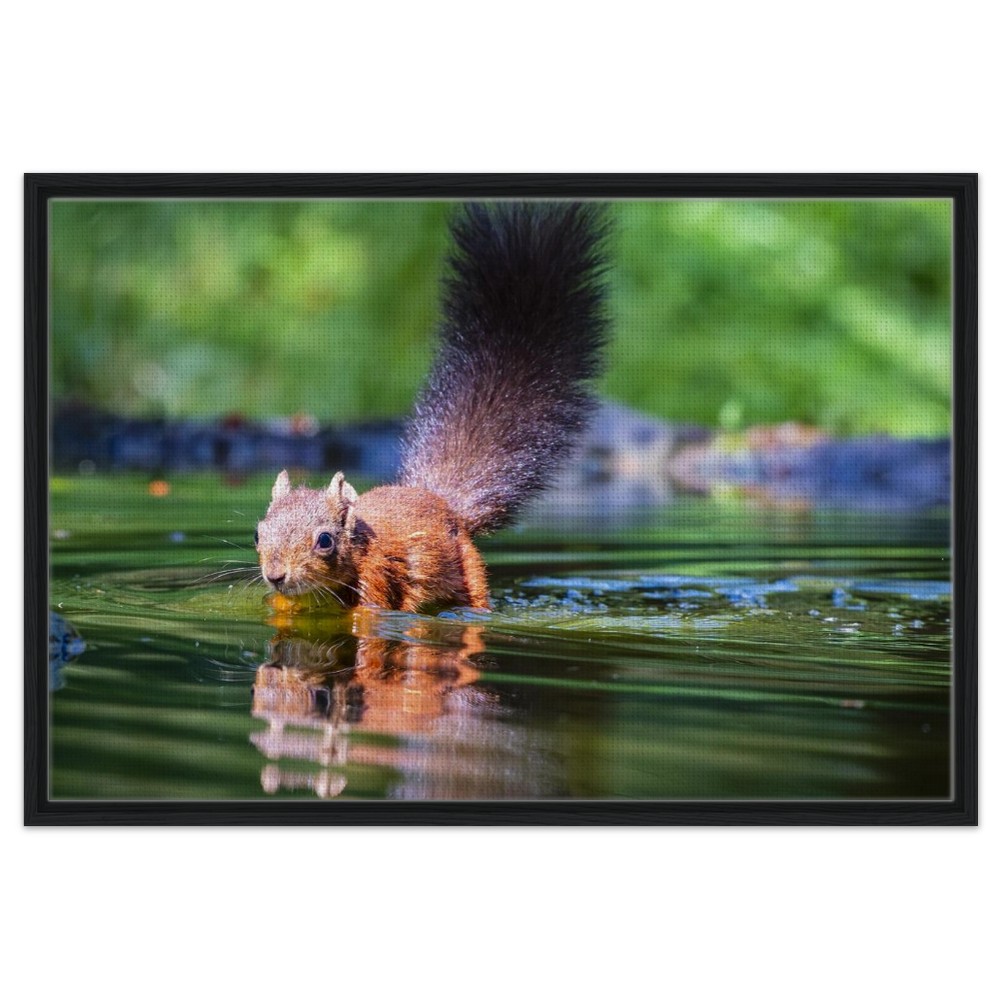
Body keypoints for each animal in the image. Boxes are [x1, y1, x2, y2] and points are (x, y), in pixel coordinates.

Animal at [255, 202, 609, 613]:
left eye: (325, 540)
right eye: (257, 534)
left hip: (469, 566)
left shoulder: (377, 575)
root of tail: (442, 501)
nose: (276, 576)